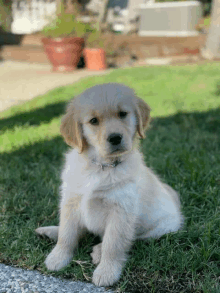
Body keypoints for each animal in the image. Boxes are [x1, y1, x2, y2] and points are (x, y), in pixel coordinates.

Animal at [35, 82, 184, 286]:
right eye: (94, 121)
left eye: (122, 114)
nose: (115, 138)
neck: (101, 166)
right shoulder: (71, 201)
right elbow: (67, 233)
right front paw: (58, 257)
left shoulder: (121, 211)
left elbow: (113, 244)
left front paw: (106, 272)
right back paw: (50, 231)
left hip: (161, 228)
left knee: (132, 239)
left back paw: (97, 251)